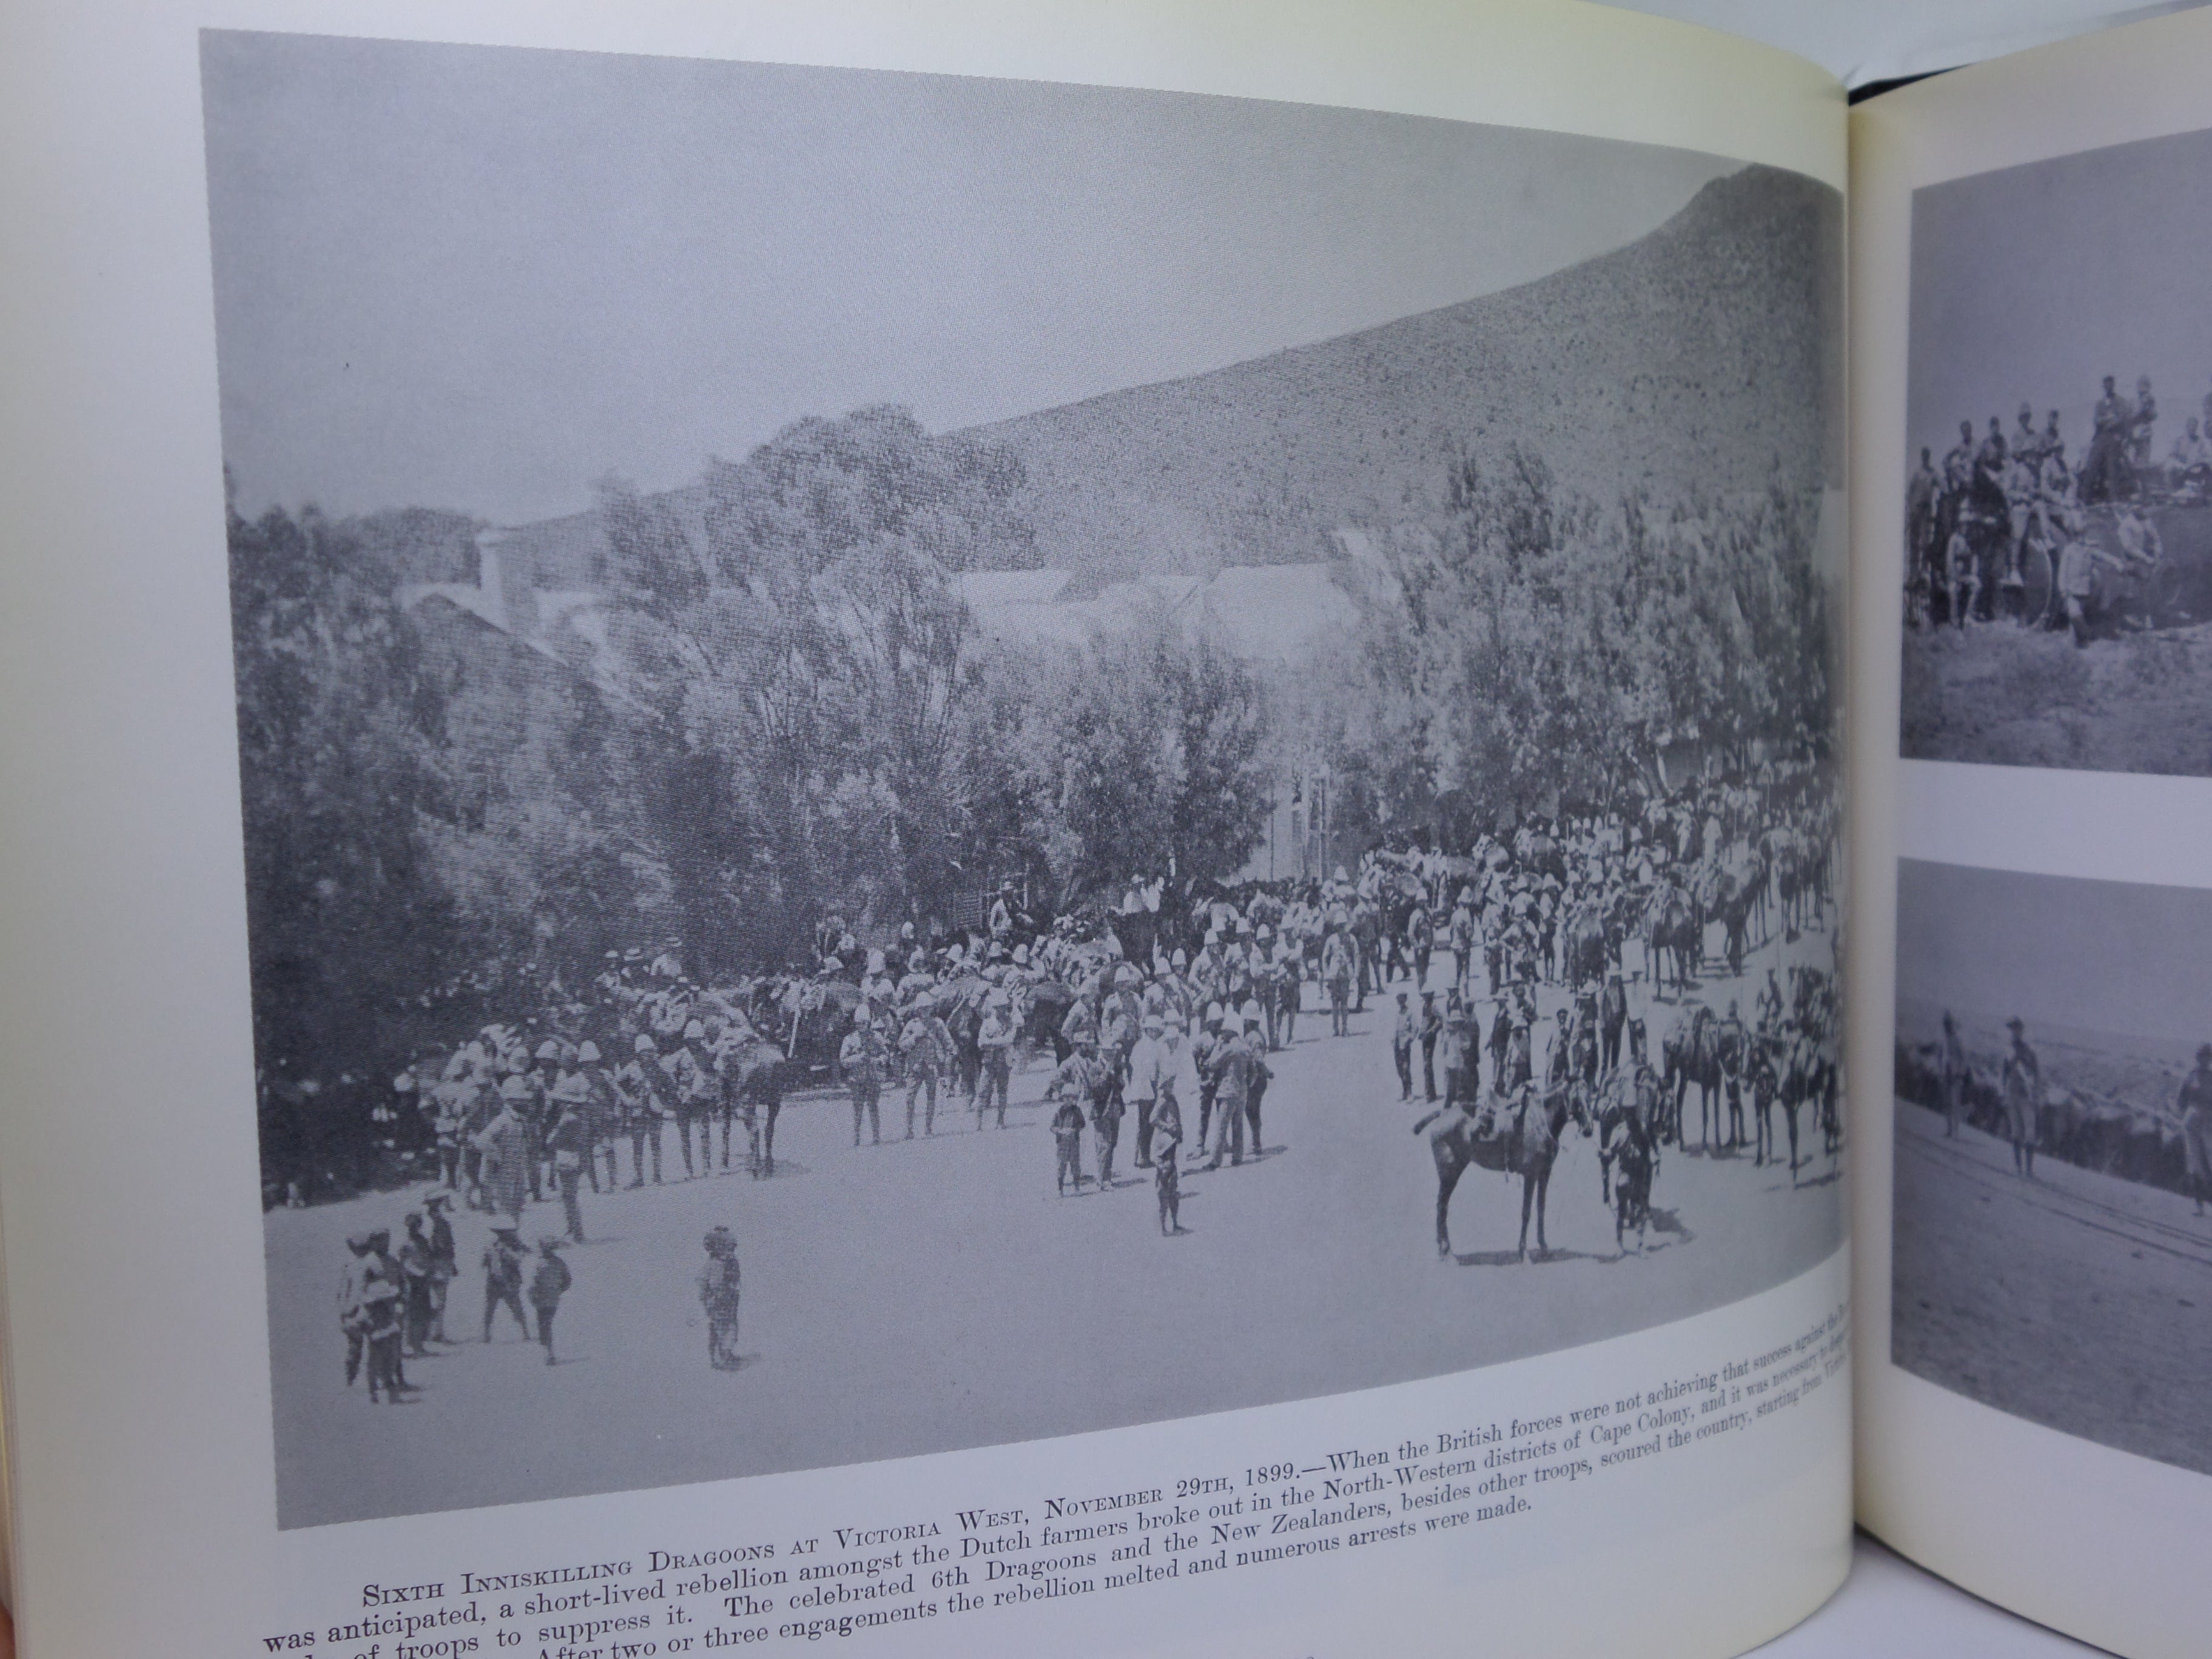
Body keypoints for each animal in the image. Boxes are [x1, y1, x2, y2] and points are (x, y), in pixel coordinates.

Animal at [1415, 1079, 1592, 1256]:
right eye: (1576, 1099)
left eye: (1591, 1097)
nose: (1589, 1129)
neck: (1540, 1121)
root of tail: (1442, 1114)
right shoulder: (1530, 1175)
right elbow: (1526, 1211)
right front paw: (1523, 1251)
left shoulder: (1545, 1173)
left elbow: (1541, 1208)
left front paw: (1543, 1246)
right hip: (1449, 1174)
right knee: (1442, 1205)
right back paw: (1445, 1249)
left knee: (1442, 1206)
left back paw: (1442, 1246)